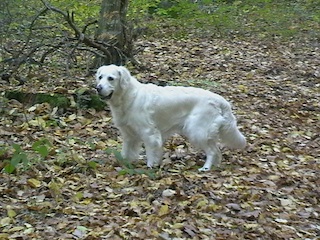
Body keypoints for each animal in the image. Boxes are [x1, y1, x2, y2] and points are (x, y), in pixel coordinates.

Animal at [95, 64, 245, 172]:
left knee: (213, 151)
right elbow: (125, 152)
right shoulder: (128, 133)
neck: (128, 96)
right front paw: (122, 164)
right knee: (217, 151)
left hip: (197, 130)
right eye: (100, 77)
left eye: (111, 78)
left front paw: (150, 167)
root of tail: (220, 100)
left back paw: (206, 168)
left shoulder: (149, 132)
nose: (98, 88)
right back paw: (215, 166)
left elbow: (151, 152)